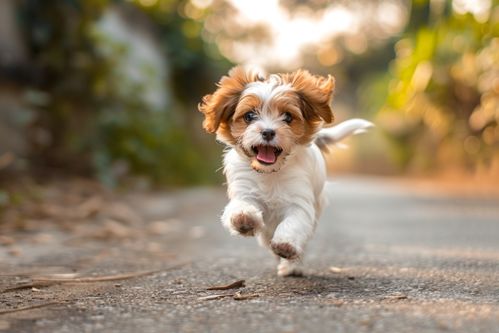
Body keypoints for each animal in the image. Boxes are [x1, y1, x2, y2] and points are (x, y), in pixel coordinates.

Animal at [197, 65, 374, 274]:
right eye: (249, 116)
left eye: (288, 117)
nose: (268, 132)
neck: (271, 173)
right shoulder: (244, 190)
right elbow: (241, 206)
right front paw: (244, 219)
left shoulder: (300, 202)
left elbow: (293, 223)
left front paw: (286, 246)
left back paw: (291, 266)